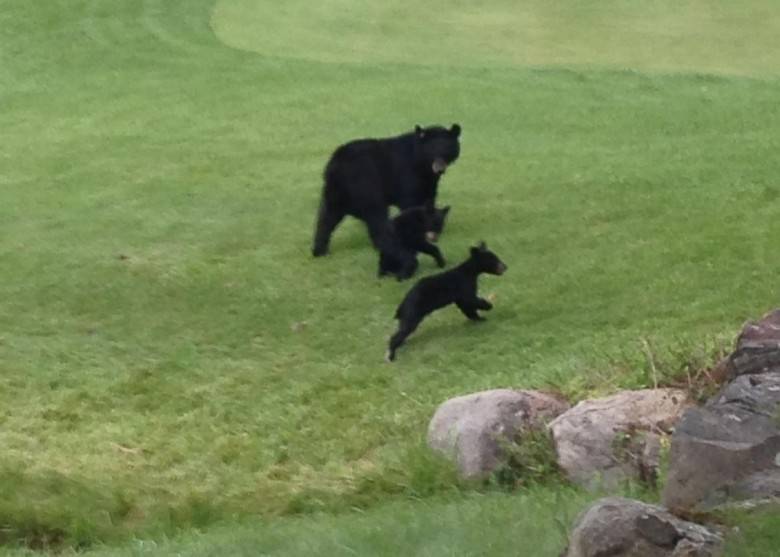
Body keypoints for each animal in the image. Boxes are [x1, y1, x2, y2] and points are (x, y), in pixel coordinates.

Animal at [312, 124, 460, 256]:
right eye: (432, 149)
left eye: (446, 148)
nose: (439, 167)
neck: (422, 165)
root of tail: (335, 165)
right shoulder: (408, 174)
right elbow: (411, 201)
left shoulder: (429, 181)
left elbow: (429, 198)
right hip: (365, 184)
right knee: (376, 215)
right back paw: (388, 245)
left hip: (335, 192)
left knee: (326, 217)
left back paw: (320, 251)